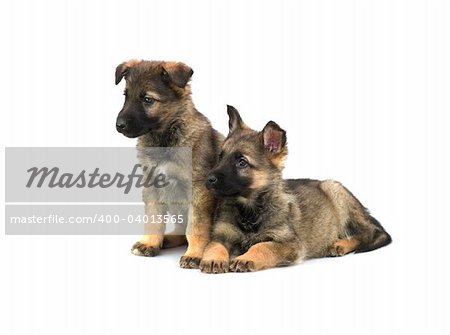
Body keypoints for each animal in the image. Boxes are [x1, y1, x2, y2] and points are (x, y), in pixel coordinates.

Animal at [199, 106, 392, 274]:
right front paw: (213, 259)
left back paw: (340, 244)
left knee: (367, 234)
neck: (249, 210)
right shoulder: (221, 235)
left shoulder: (289, 243)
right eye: (220, 157)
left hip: (334, 189)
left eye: (242, 162)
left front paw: (246, 258)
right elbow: (214, 246)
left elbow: (262, 246)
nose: (208, 179)